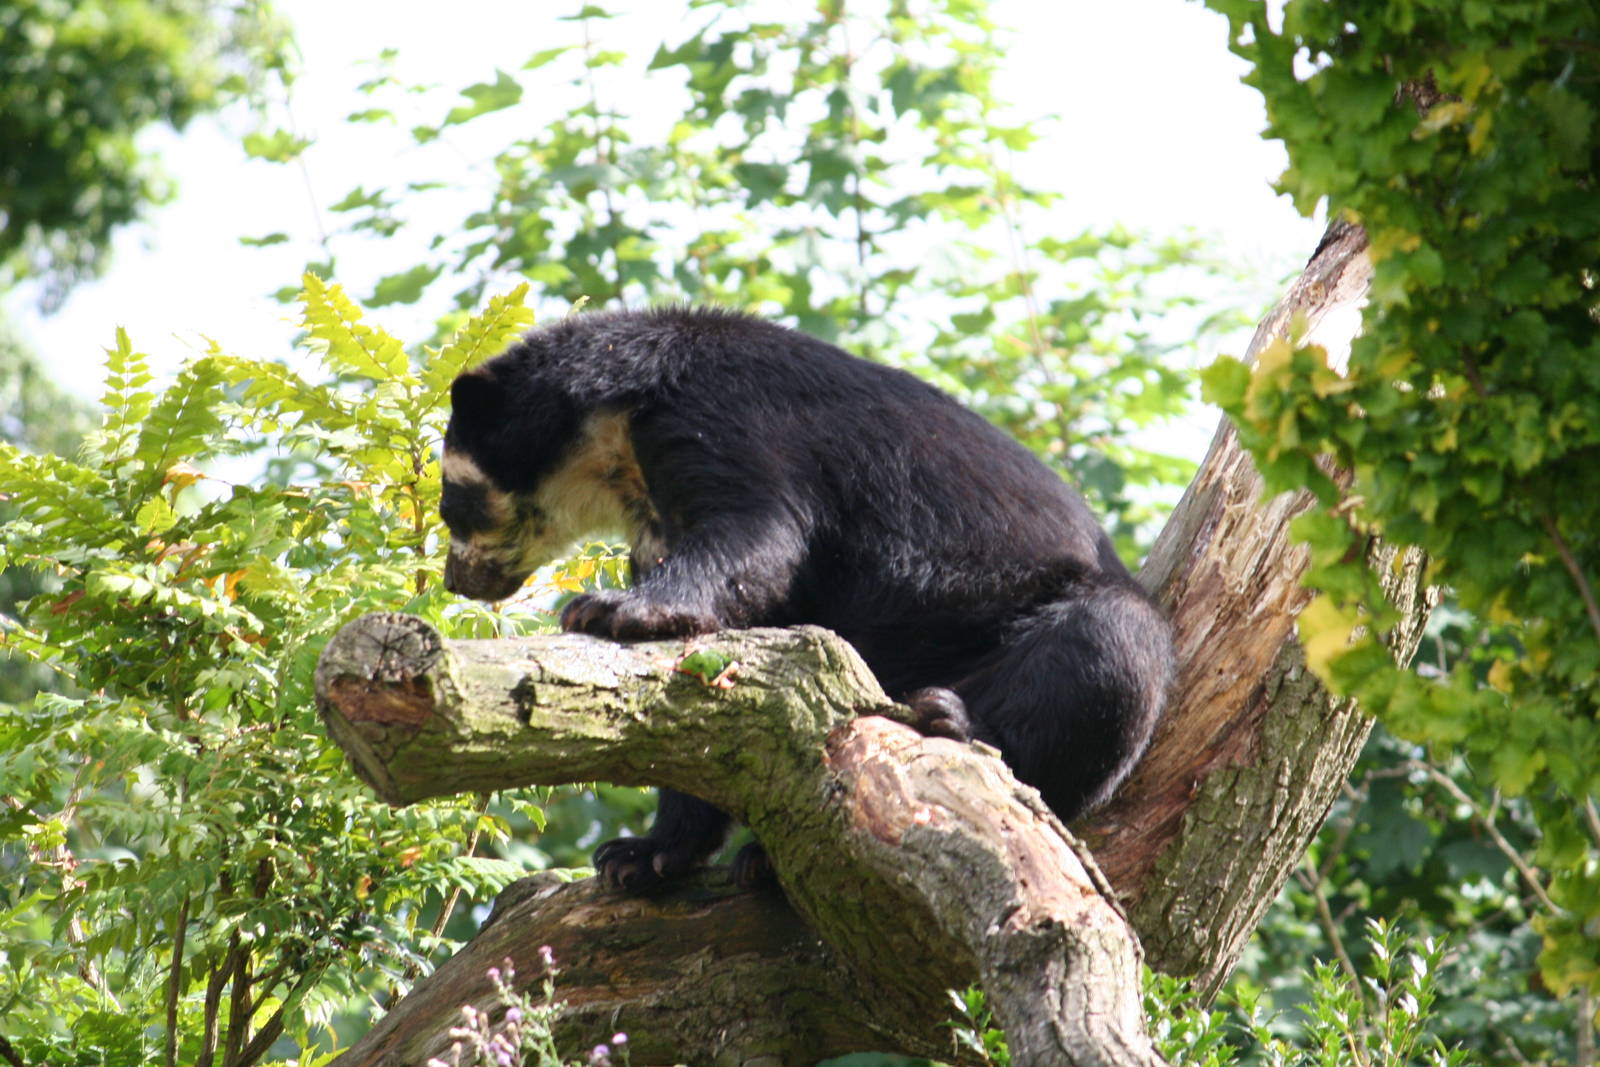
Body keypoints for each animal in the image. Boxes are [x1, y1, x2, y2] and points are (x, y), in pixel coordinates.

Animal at [439, 306, 1173, 893]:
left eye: (452, 500)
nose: (455, 579)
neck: (620, 439)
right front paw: (640, 856)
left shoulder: (725, 417)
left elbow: (757, 533)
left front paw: (606, 608)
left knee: (1106, 651)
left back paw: (952, 717)